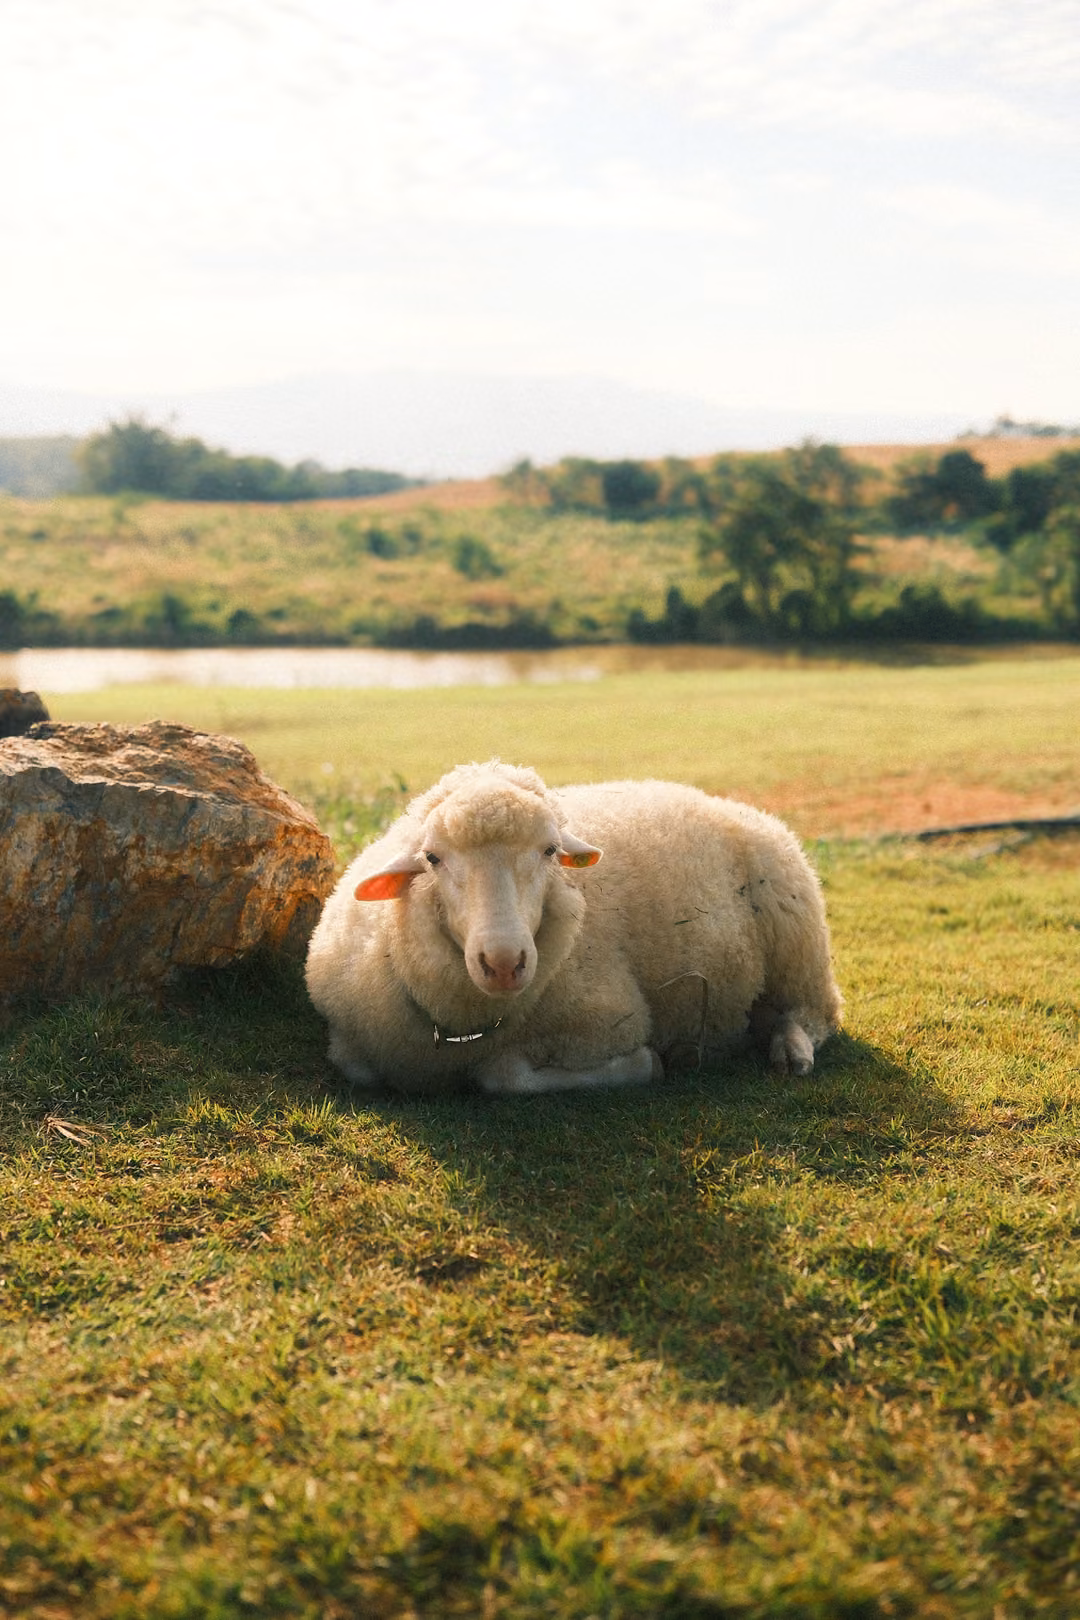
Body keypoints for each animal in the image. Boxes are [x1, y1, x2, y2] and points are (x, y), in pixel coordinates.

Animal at [305, 760, 842, 1095]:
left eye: (549, 851)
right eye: (432, 858)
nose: (504, 962)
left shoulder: (606, 1021)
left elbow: (502, 1075)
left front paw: (649, 1063)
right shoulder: (350, 1041)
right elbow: (356, 1067)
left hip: (799, 943)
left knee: (814, 1014)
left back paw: (790, 1050)